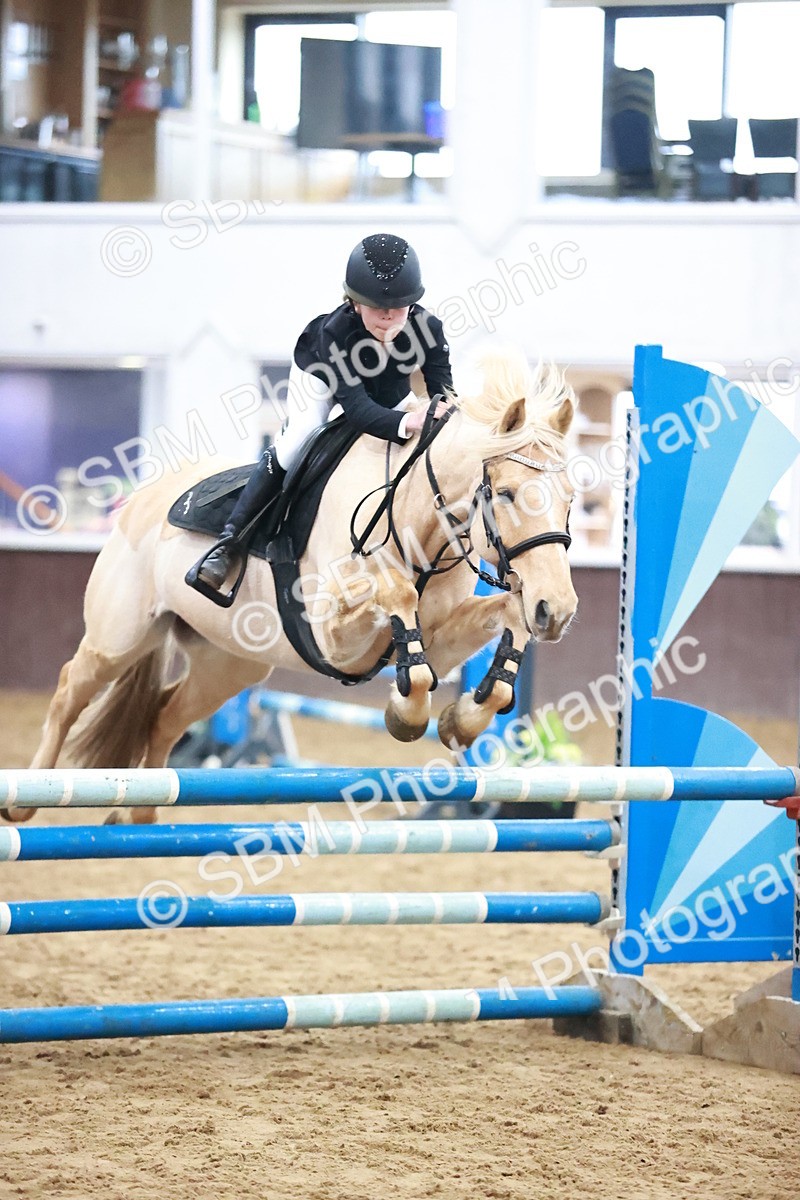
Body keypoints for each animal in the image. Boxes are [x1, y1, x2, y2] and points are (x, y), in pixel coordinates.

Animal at [1, 347, 578, 825]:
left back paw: (138, 814)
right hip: (120, 637)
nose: (558, 610)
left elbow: (502, 619)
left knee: (165, 716)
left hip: (228, 665)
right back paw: (30, 797)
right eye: (506, 493)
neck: (418, 520)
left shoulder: (438, 640)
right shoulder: (332, 633)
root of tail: (144, 496)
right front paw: (408, 716)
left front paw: (461, 719)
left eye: (571, 496)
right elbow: (398, 596)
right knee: (70, 690)